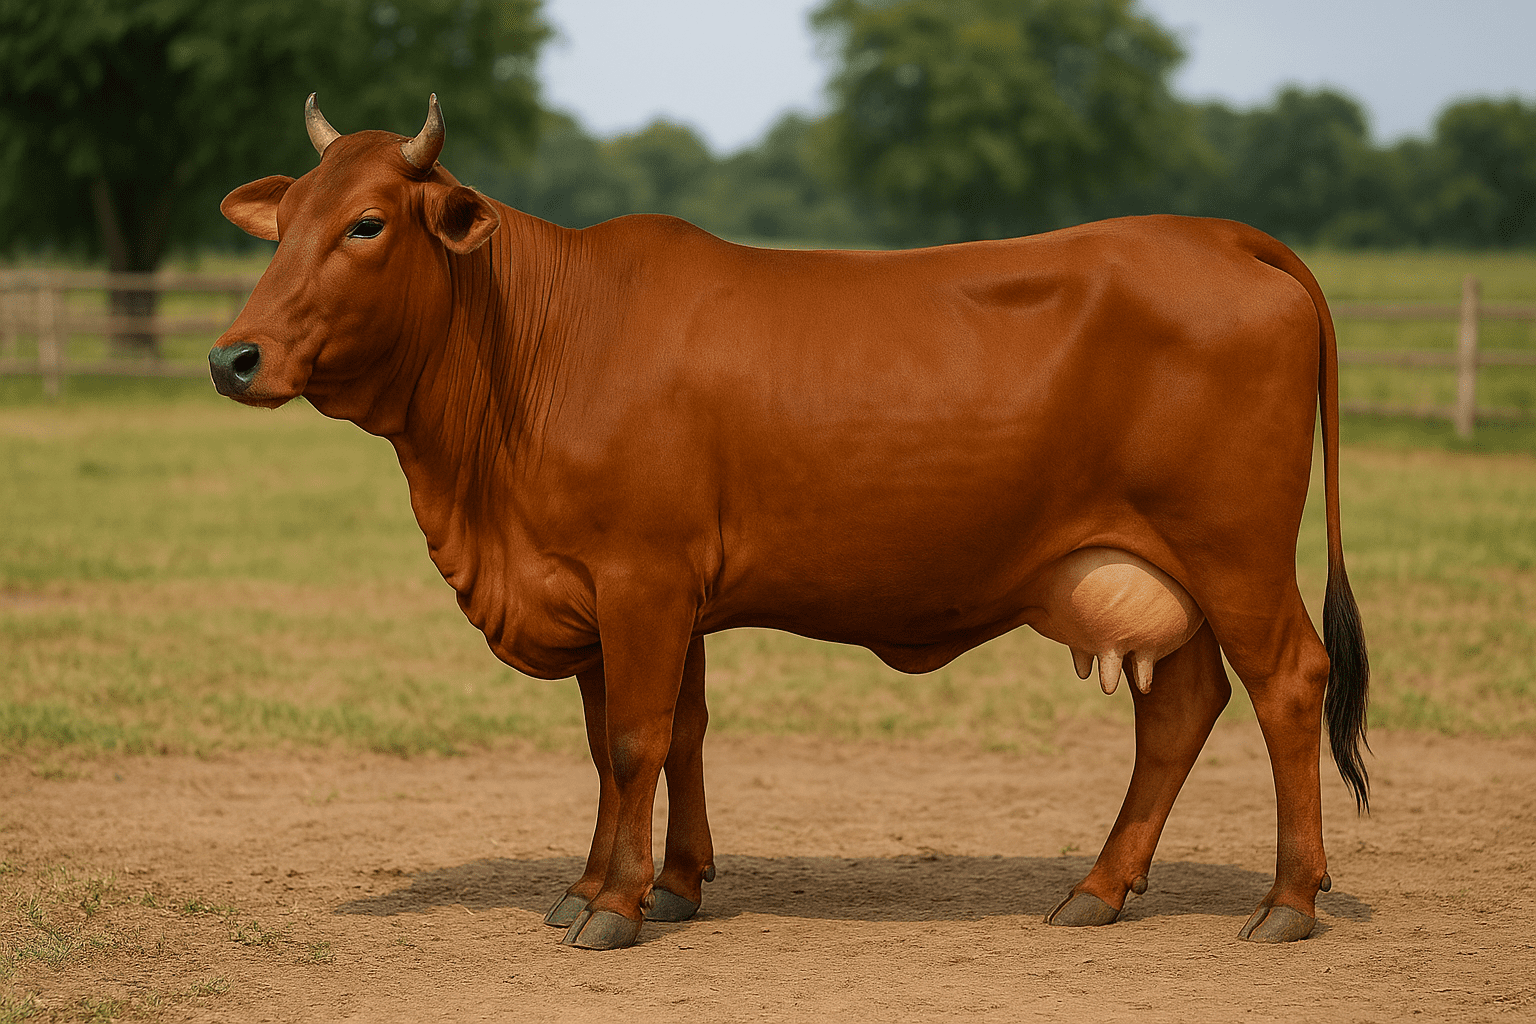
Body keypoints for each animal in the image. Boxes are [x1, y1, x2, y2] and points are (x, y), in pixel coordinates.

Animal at [210, 95, 1369, 951]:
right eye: (285, 222)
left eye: (367, 223)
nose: (233, 357)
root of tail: (1221, 234)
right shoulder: (609, 589)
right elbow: (650, 735)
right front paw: (643, 882)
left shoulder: (642, 578)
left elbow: (633, 739)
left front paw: (615, 906)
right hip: (1165, 567)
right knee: (1180, 709)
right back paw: (1100, 887)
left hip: (1236, 552)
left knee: (1288, 683)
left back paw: (1287, 902)